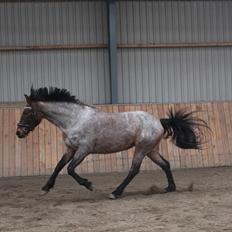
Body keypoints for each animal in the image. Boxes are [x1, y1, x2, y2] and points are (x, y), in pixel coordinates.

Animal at [15, 87, 208, 199]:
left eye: (27, 113)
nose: (19, 133)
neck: (74, 119)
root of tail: (159, 121)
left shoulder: (84, 150)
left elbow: (70, 169)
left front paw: (89, 185)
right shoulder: (70, 148)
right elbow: (58, 166)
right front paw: (45, 188)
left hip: (141, 148)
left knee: (134, 170)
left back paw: (115, 193)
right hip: (151, 150)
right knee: (165, 164)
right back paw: (170, 188)